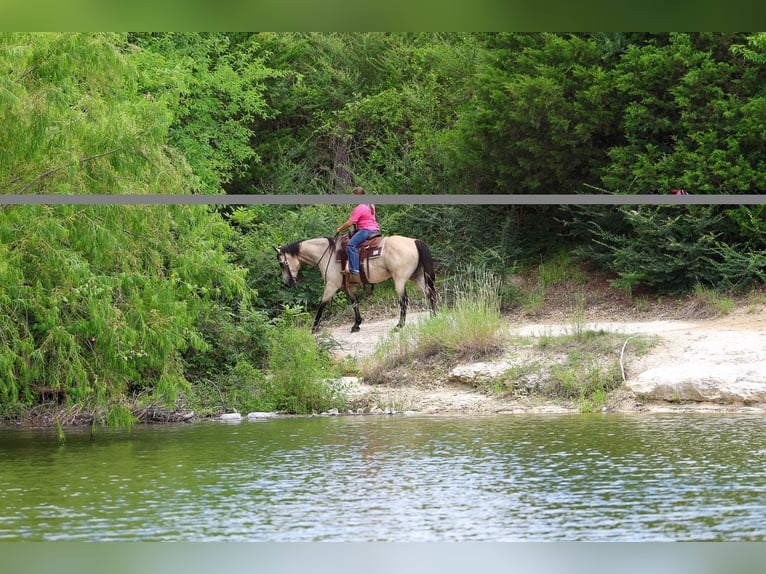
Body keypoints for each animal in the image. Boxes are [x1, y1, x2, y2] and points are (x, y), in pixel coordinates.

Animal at [275, 234, 436, 333]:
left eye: (282, 263)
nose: (287, 284)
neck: (328, 254)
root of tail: (414, 241)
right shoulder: (351, 285)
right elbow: (354, 303)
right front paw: (356, 324)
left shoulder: (332, 285)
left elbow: (322, 305)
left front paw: (314, 328)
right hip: (417, 277)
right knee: (429, 293)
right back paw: (433, 315)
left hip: (400, 280)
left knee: (404, 300)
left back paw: (400, 325)